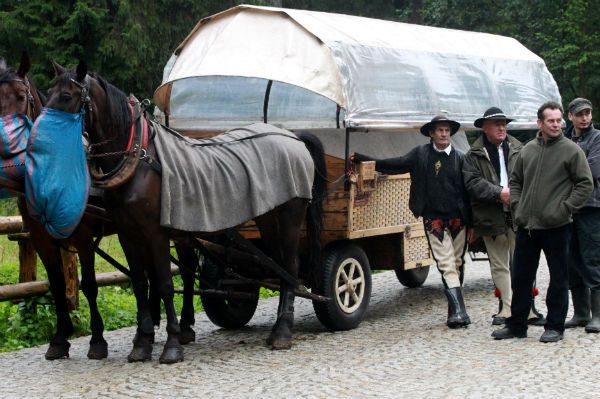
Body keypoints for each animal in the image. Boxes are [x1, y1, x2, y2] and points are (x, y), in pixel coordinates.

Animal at [0, 54, 110, 362]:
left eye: (21, 96)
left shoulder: (83, 237)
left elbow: (89, 285)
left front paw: (97, 339)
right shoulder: (42, 239)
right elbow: (58, 284)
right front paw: (61, 338)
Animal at [45, 62, 328, 366]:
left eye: (66, 96)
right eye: (47, 93)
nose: (45, 141)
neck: (139, 159)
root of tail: (292, 136)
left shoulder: (156, 233)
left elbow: (165, 285)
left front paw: (171, 345)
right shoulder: (127, 235)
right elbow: (140, 284)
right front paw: (142, 343)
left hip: (290, 216)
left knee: (291, 267)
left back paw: (282, 332)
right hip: (268, 218)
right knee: (278, 266)